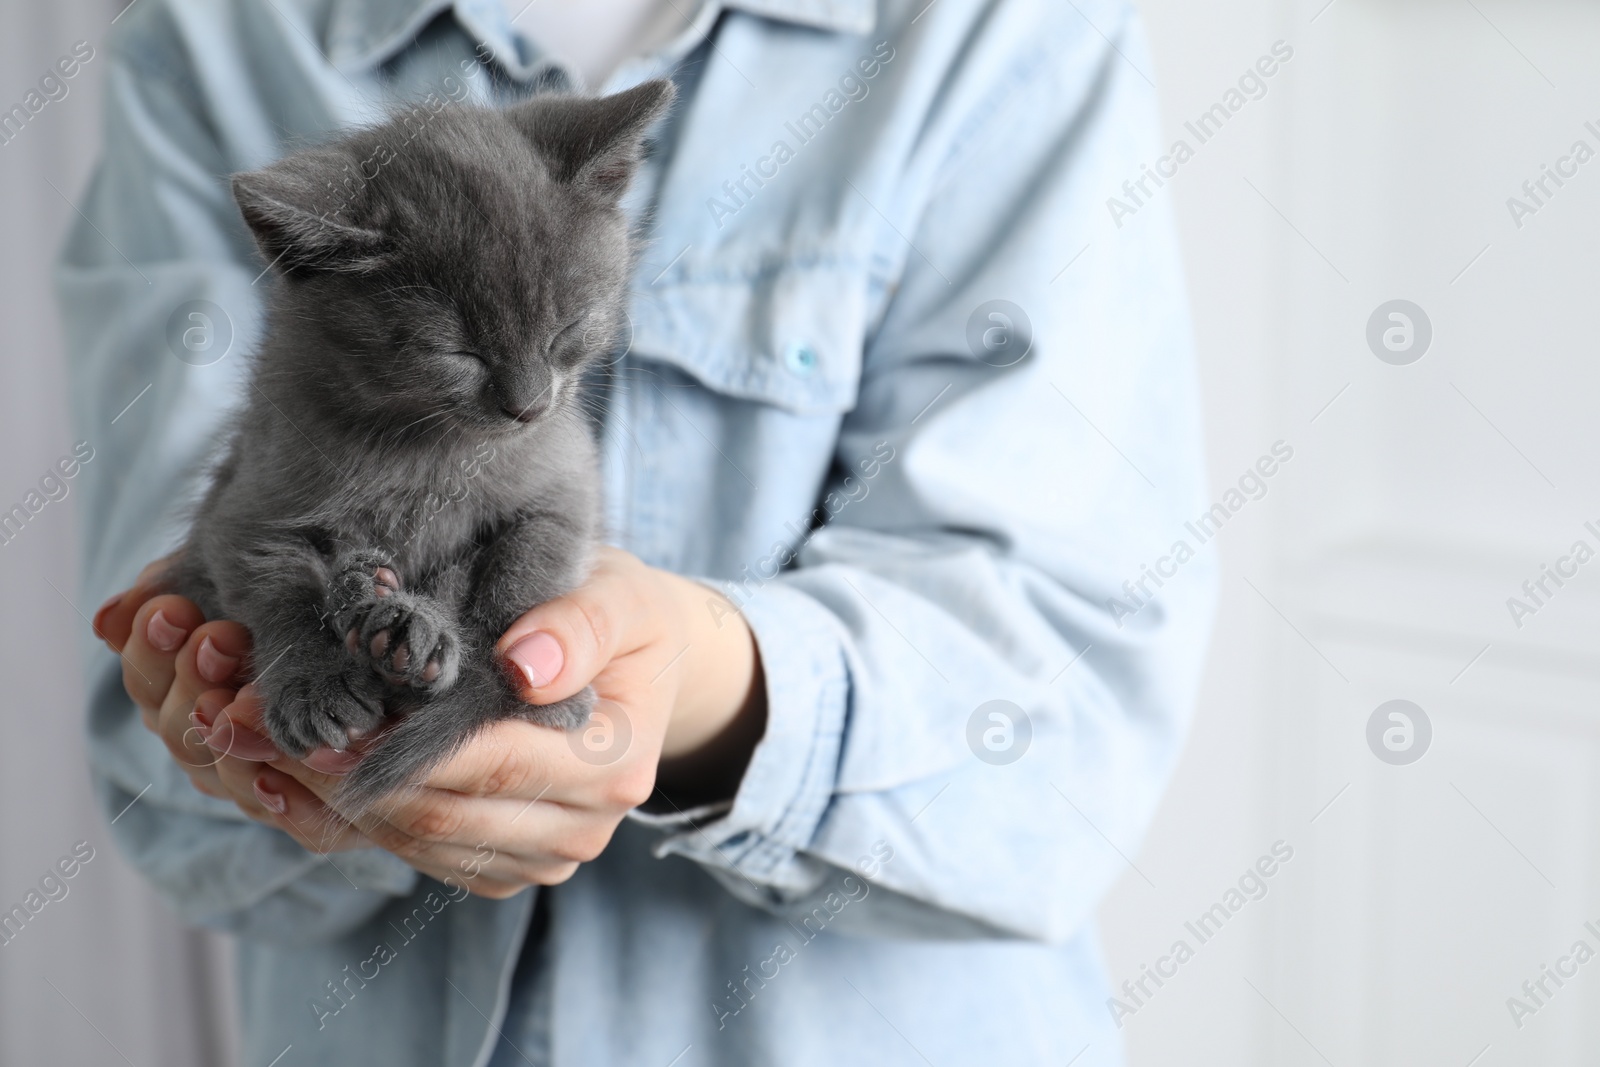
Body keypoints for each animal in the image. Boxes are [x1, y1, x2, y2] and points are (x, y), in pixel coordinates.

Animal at [167, 79, 675, 809]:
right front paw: (313, 686)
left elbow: (529, 562)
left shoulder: (566, 478)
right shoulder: (242, 508)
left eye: (567, 329)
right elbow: (277, 585)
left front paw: (535, 683)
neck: (428, 446)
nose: (528, 404)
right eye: (457, 352)